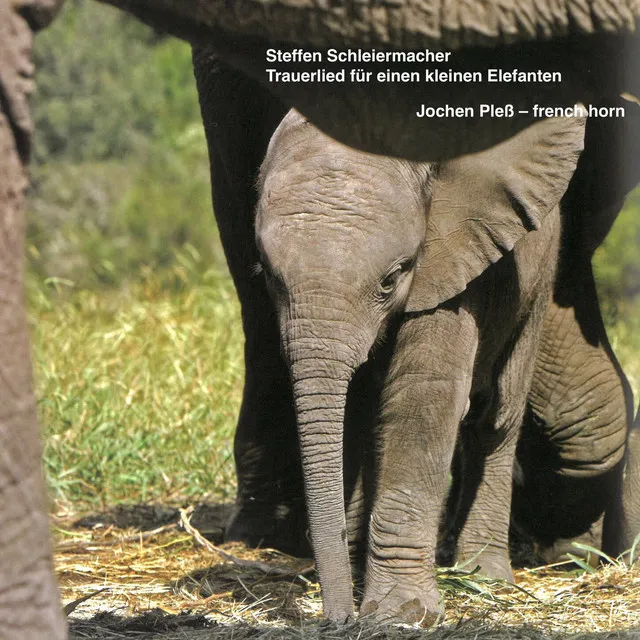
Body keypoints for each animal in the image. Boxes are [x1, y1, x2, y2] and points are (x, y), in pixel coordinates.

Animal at [252, 111, 584, 624]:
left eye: (393, 278)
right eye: (269, 275)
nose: (339, 620)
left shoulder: (453, 256)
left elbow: (422, 394)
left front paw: (400, 613)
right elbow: (353, 409)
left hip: (540, 272)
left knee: (497, 417)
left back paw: (485, 575)